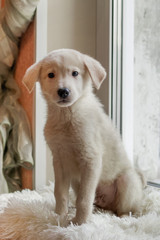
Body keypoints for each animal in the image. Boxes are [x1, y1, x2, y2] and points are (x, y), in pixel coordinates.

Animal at [22, 48, 145, 225]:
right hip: (76, 180)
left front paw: (79, 222)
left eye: (75, 73)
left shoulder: (90, 159)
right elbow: (59, 192)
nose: (63, 91)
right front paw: (58, 216)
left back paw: (124, 218)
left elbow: (84, 198)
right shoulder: (59, 160)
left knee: (125, 208)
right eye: (51, 74)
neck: (67, 117)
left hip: (127, 181)